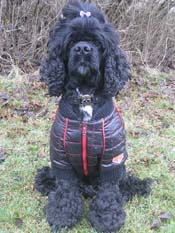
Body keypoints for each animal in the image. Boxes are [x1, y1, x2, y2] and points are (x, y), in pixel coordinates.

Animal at [34, 1, 152, 231]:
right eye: (71, 41)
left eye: (97, 42)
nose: (83, 49)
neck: (86, 97)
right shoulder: (61, 158)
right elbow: (65, 189)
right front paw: (62, 215)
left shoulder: (112, 159)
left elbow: (108, 192)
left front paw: (107, 219)